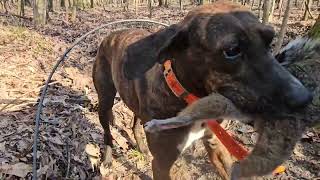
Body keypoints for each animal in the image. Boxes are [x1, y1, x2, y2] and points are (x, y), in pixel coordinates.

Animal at [91, 1, 312, 179]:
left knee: (135, 123)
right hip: (104, 101)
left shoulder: (215, 143)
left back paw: (141, 147)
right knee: (107, 132)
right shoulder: (162, 164)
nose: (305, 98)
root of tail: (111, 35)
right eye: (232, 51)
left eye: (270, 40)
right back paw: (108, 158)